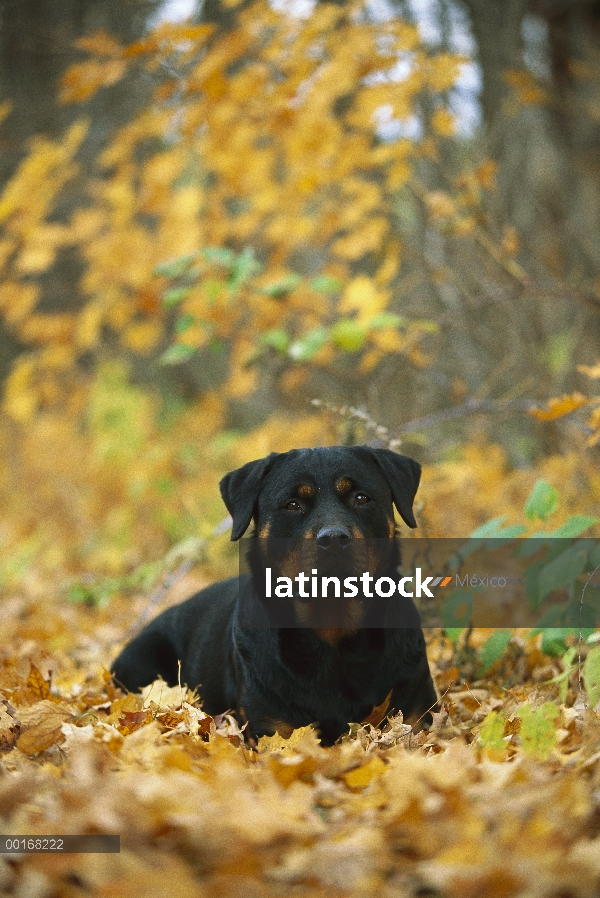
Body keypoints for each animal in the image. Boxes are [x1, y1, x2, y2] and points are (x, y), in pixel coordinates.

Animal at [112, 444, 438, 744]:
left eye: (361, 498)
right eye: (292, 504)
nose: (333, 538)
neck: (333, 634)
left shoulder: (417, 711)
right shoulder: (272, 727)